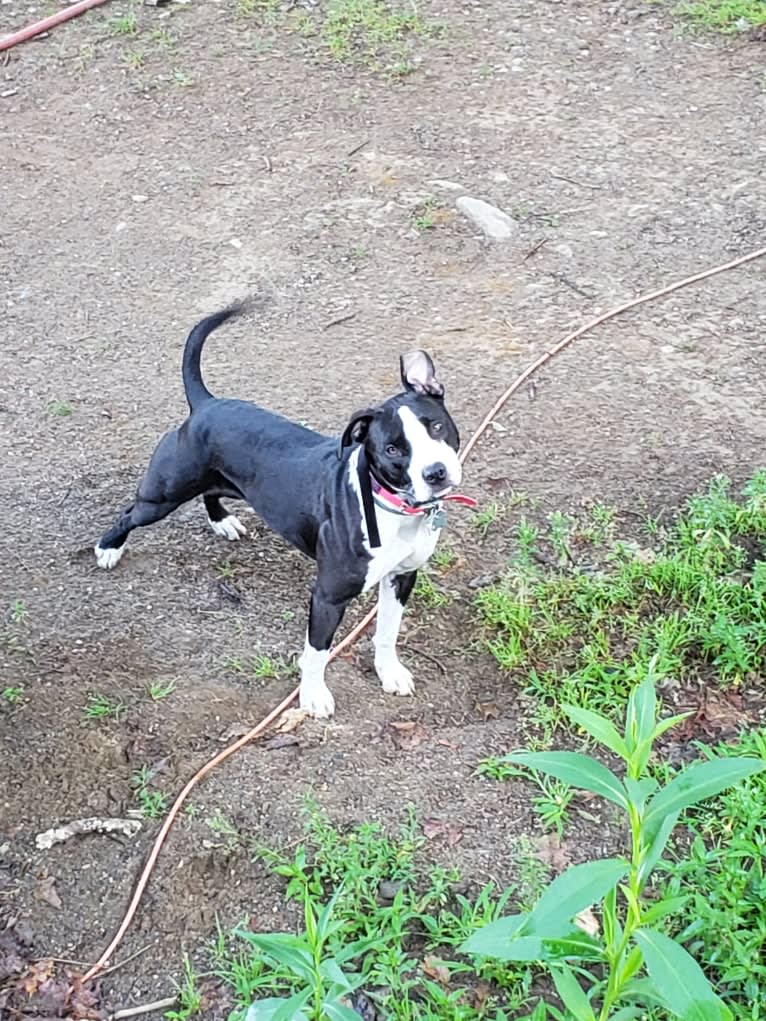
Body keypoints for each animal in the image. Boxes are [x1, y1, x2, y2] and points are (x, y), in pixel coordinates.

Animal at [94, 304, 467, 718]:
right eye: (392, 449)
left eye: (436, 426)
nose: (435, 472)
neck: (395, 508)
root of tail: (206, 404)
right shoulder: (328, 596)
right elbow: (317, 651)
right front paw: (313, 695)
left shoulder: (402, 578)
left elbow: (387, 631)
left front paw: (390, 673)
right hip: (163, 495)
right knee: (130, 513)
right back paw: (108, 548)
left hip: (217, 481)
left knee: (210, 493)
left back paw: (222, 522)